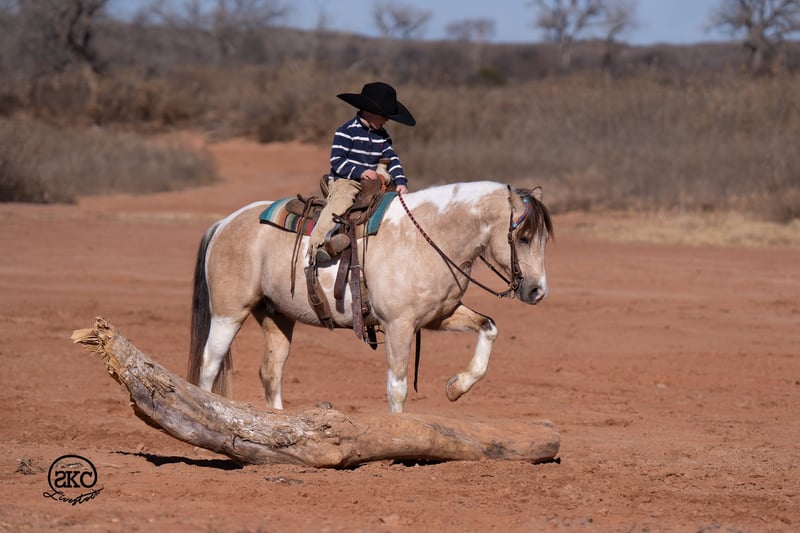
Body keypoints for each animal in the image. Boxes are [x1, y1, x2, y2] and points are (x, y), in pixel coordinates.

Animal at [187, 180, 553, 413]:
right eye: (523, 237)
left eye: (544, 239)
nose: (537, 290)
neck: (427, 238)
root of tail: (224, 223)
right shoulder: (399, 325)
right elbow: (398, 387)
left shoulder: (438, 316)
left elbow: (489, 326)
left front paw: (456, 386)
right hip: (229, 312)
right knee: (209, 364)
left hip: (277, 316)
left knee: (271, 371)